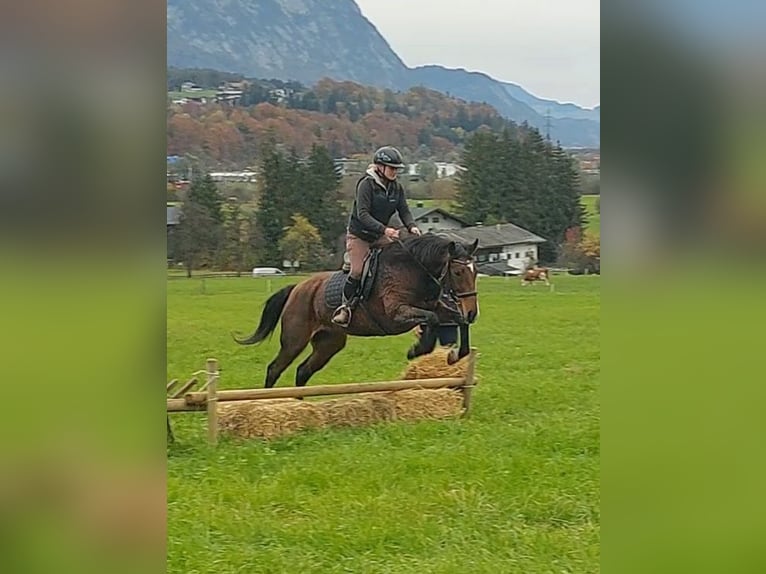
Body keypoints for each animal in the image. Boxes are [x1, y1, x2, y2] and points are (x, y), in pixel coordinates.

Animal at [233, 234, 479, 389]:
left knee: (303, 371)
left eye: (475, 272)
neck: (414, 270)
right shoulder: (396, 316)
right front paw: (416, 350)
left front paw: (454, 355)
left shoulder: (436, 306)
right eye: (458, 272)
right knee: (274, 369)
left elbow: (455, 320)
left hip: (329, 343)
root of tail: (297, 288)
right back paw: (268, 402)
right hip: (295, 340)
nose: (473, 313)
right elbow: (432, 319)